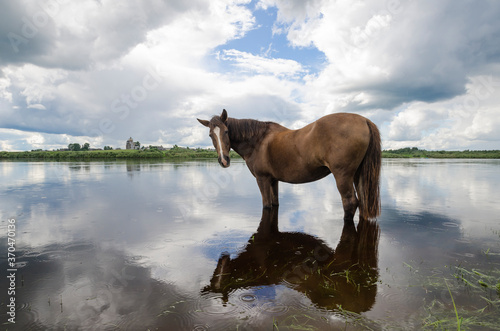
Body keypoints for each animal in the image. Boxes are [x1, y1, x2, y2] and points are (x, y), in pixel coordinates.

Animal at [197, 109, 380, 223]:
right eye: (210, 135)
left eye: (226, 131)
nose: (224, 160)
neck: (258, 141)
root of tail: (364, 120)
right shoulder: (273, 180)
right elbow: (275, 203)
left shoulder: (262, 179)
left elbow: (266, 205)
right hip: (357, 175)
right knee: (362, 201)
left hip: (343, 175)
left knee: (350, 202)